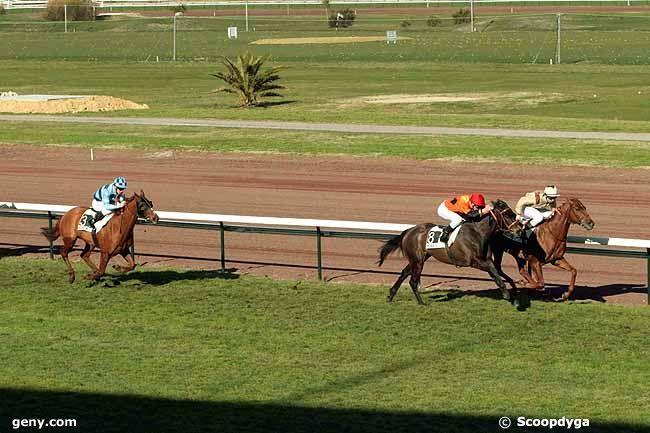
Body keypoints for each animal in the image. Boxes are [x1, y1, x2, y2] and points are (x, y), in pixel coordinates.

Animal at [374, 199, 520, 308]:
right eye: (507, 214)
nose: (519, 229)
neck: (478, 232)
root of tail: (408, 231)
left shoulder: (486, 260)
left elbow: (496, 272)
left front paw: (513, 294)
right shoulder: (474, 261)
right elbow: (494, 271)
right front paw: (508, 294)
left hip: (418, 259)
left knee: (404, 273)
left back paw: (391, 295)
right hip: (418, 260)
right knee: (413, 281)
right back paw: (421, 302)